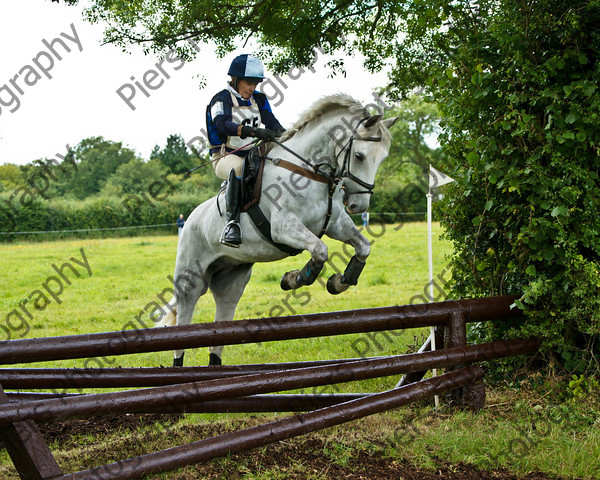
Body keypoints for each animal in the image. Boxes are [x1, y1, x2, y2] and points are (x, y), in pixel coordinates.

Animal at [157, 93, 396, 364]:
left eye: (382, 158)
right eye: (360, 156)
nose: (358, 205)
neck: (310, 172)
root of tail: (191, 218)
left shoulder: (336, 225)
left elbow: (362, 247)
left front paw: (339, 282)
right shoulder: (284, 228)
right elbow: (320, 251)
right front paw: (293, 279)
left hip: (231, 279)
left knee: (222, 315)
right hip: (191, 278)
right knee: (185, 316)